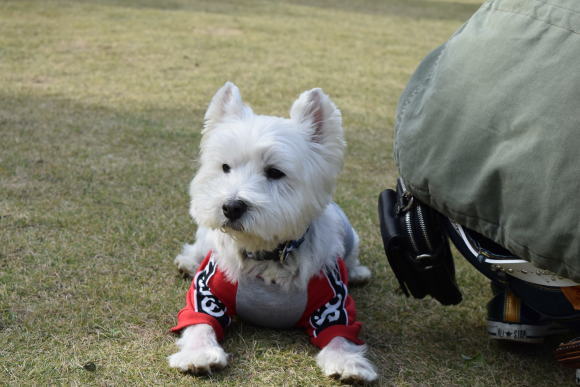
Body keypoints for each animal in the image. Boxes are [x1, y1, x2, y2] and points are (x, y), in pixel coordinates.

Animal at [168, 83, 376, 384]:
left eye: (275, 172)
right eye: (225, 167)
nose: (231, 207)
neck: (266, 255)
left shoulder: (332, 303)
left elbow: (339, 334)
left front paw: (348, 363)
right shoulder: (206, 292)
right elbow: (199, 323)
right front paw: (198, 355)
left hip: (351, 235)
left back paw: (358, 272)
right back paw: (187, 262)